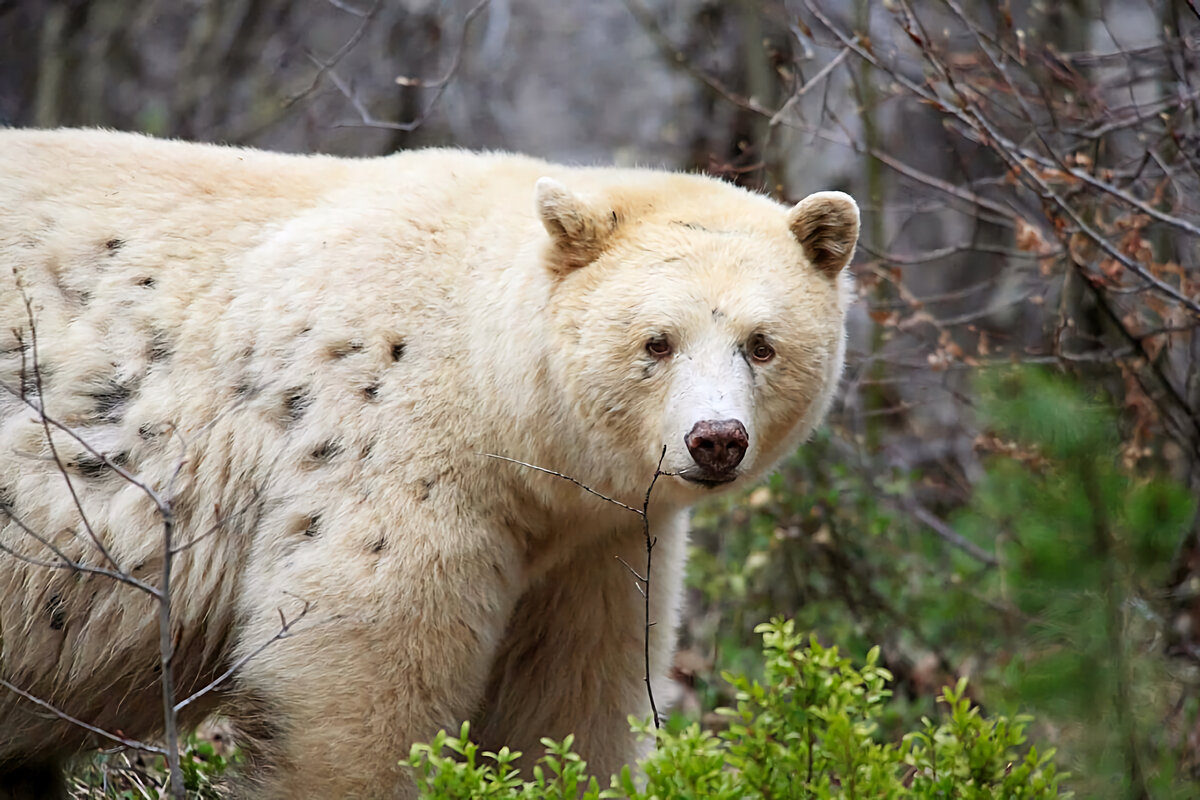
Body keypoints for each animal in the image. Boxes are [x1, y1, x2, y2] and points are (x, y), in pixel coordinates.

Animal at [0, 128, 864, 796]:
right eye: (658, 341)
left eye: (762, 343)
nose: (715, 438)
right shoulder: (389, 456)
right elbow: (356, 696)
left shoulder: (591, 543)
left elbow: (571, 703)